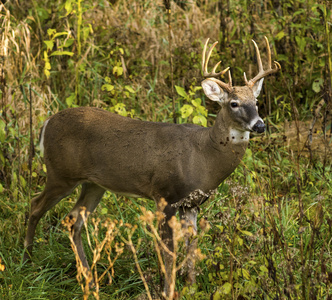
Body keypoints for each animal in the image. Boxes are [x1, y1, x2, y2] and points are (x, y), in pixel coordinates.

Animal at [24, 36, 280, 296]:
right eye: (234, 103)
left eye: (255, 101)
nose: (260, 125)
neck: (203, 155)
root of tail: (46, 123)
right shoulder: (165, 195)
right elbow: (169, 251)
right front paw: (168, 291)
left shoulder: (192, 203)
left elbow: (192, 246)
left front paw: (191, 288)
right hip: (60, 173)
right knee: (35, 205)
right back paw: (28, 261)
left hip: (94, 184)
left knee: (72, 219)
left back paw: (89, 280)